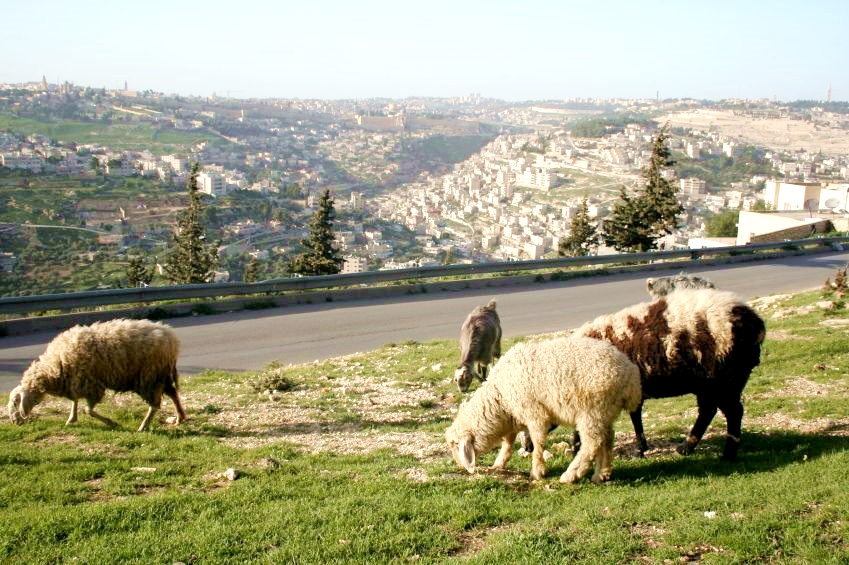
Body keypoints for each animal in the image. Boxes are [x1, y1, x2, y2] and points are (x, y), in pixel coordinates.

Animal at [7, 318, 186, 432]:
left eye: (16, 402)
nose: (14, 422)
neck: (55, 365)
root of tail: (171, 337)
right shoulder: (76, 381)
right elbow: (75, 401)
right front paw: (71, 419)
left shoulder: (91, 384)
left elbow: (88, 409)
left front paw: (112, 423)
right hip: (161, 375)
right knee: (173, 394)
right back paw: (179, 418)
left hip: (149, 377)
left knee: (155, 404)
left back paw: (143, 426)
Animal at [448, 334, 640, 484]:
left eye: (456, 445)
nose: (461, 467)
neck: (499, 396)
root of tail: (631, 375)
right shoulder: (514, 415)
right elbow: (508, 442)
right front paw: (498, 463)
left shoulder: (535, 413)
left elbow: (538, 442)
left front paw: (537, 472)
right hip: (605, 412)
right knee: (607, 440)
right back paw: (602, 474)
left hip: (592, 410)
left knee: (592, 443)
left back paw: (571, 475)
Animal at [576, 288, 760, 460]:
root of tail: (755, 323)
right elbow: (635, 416)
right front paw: (640, 448)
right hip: (710, 383)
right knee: (708, 410)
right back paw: (686, 447)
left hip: (725, 380)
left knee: (733, 412)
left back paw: (727, 454)